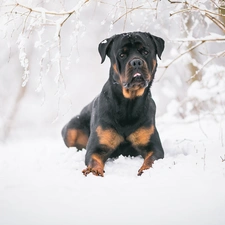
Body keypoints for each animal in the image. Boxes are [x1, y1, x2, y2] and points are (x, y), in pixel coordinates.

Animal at [62, 31, 164, 177]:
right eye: (122, 55)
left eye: (145, 51)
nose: (136, 62)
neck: (128, 105)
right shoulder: (97, 147)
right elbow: (94, 159)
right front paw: (94, 170)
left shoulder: (154, 146)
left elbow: (152, 159)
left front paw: (145, 169)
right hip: (71, 129)